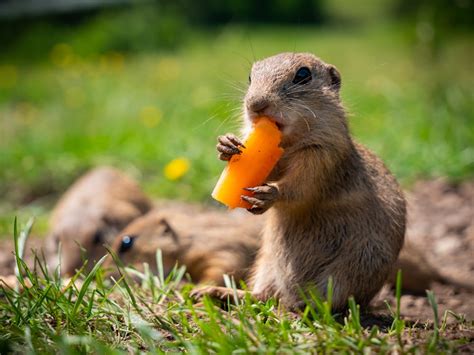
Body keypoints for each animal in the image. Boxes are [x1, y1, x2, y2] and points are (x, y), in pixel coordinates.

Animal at [193, 52, 408, 312]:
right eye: (250, 77)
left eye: (303, 75)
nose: (255, 105)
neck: (290, 142)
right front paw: (226, 145)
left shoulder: (321, 156)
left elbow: (302, 187)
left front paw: (270, 194)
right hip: (266, 264)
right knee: (262, 296)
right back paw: (216, 293)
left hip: (350, 271)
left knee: (325, 304)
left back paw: (300, 308)